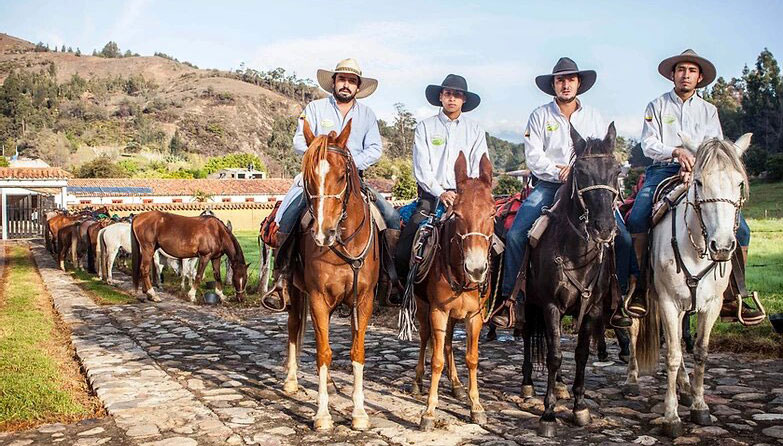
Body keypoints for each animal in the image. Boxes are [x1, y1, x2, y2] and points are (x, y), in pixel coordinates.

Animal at [282, 119, 380, 432]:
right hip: (296, 293)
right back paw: (291, 380)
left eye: (342, 175)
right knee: (293, 328)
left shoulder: (363, 301)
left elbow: (357, 352)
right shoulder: (317, 299)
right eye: (309, 179)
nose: (323, 233)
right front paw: (322, 415)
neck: (344, 242)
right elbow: (323, 353)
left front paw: (359, 413)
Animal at [414, 152, 494, 430]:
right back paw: (418, 381)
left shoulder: (474, 316)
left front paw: (476, 405)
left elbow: (471, 358)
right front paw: (429, 411)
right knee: (426, 339)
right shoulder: (438, 311)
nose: (476, 268)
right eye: (457, 214)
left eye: (493, 212)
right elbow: (436, 359)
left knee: (448, 343)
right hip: (423, 308)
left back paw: (457, 384)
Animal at [516, 123, 620, 438]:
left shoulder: (592, 309)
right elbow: (554, 356)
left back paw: (561, 386)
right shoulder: (550, 306)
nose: (604, 228)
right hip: (530, 303)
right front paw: (549, 413)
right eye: (581, 172)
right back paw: (528, 384)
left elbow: (581, 354)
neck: (575, 252)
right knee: (529, 336)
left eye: (617, 171)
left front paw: (579, 407)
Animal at [624, 132, 752, 436]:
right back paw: (632, 379)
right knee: (634, 330)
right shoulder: (669, 302)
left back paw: (684, 386)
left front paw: (699, 405)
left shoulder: (710, 306)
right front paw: (671, 417)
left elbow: (700, 353)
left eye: (739, 183)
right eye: (699, 182)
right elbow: (671, 355)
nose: (722, 246)